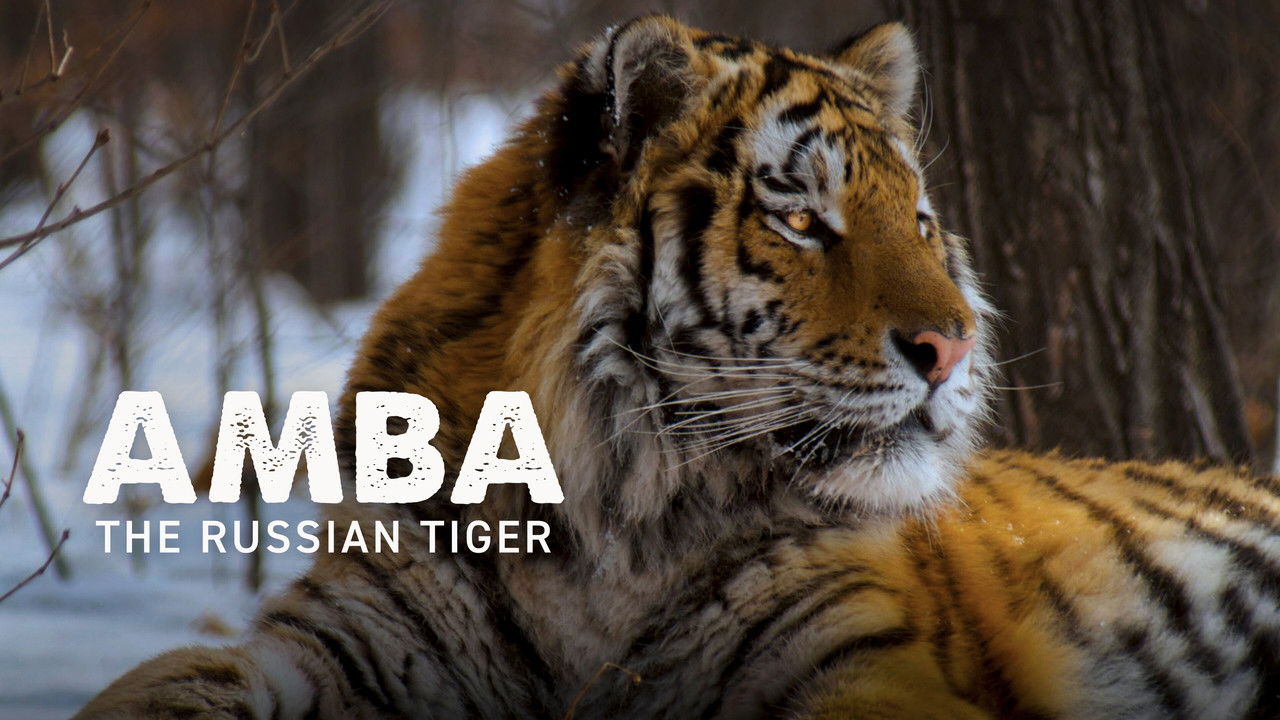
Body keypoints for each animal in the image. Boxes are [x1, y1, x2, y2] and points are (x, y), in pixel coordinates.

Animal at [77, 15, 1280, 720]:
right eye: (801, 219)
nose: (956, 349)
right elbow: (169, 680)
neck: (609, 532)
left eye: (922, 221)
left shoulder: (862, 661)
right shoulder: (353, 634)